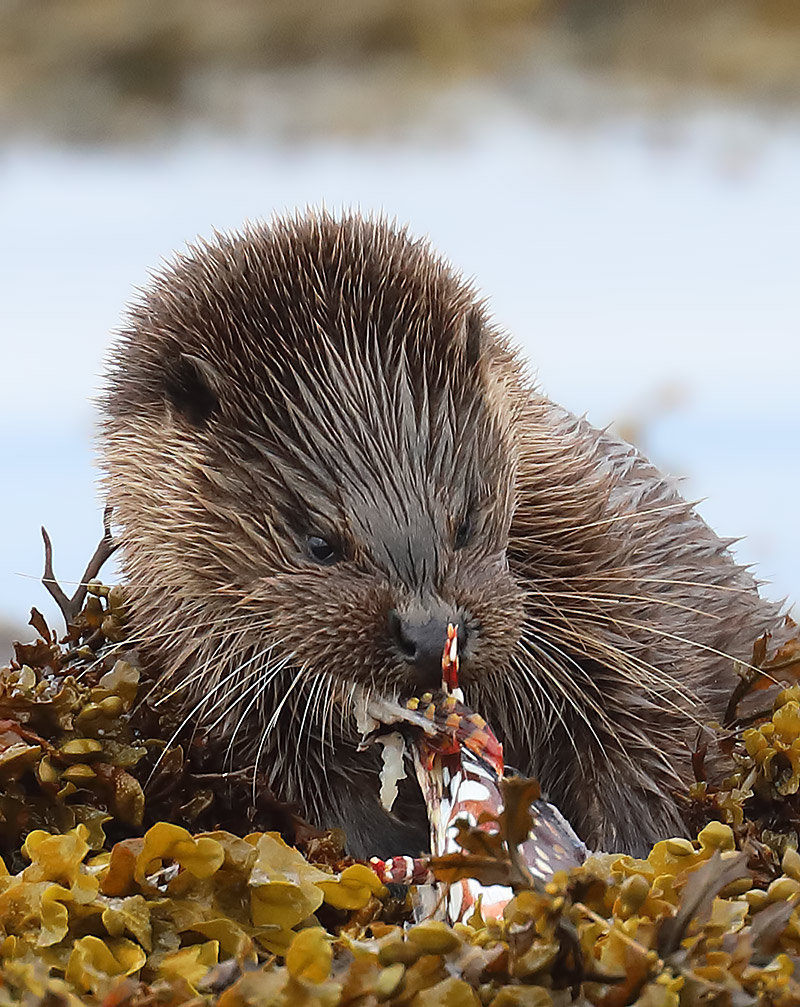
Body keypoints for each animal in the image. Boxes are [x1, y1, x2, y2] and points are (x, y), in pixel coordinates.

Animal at [101, 210, 782, 859]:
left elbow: (640, 741)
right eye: (319, 544)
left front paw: (629, 853)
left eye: (468, 517)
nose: (432, 633)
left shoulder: (624, 595)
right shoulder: (220, 682)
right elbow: (321, 792)